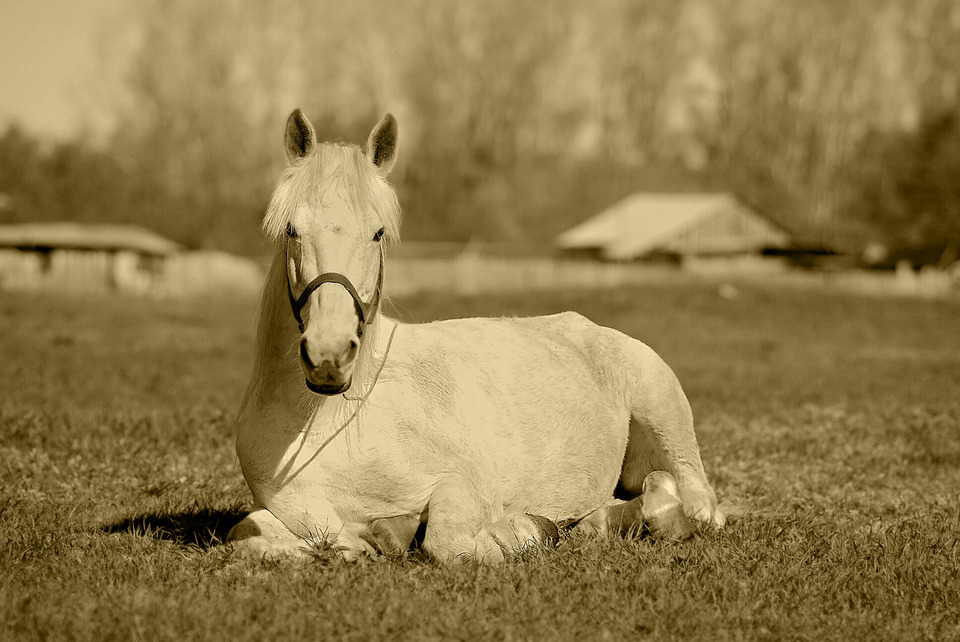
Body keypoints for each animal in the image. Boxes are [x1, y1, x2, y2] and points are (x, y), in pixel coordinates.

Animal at [225, 110, 724, 560]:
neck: (331, 423)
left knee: (691, 501)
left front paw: (513, 533)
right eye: (292, 230)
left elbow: (448, 543)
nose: (328, 356)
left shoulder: (466, 484)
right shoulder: (292, 509)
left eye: (378, 233)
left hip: (664, 419)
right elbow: (248, 535)